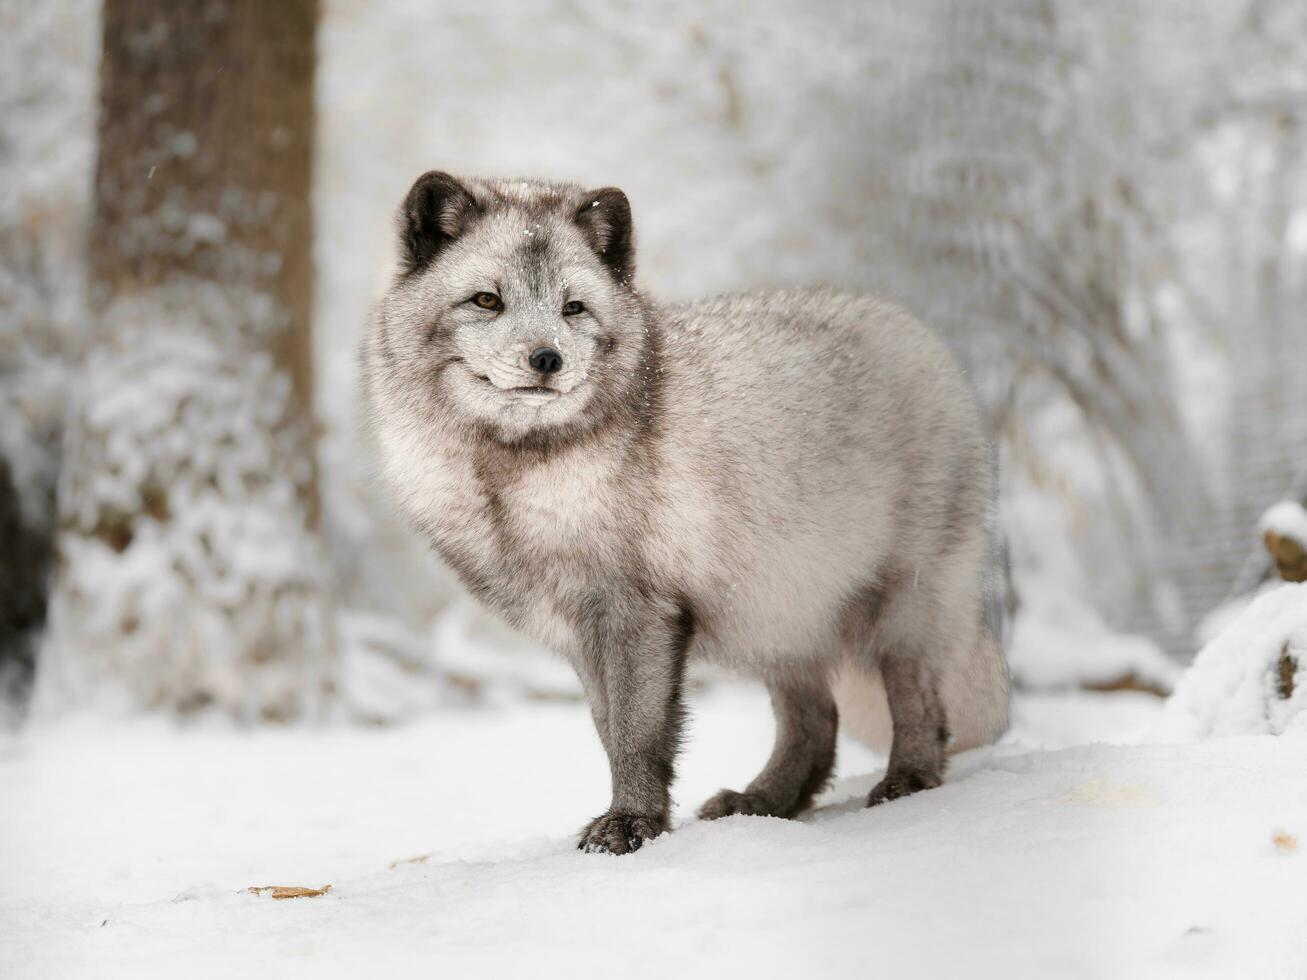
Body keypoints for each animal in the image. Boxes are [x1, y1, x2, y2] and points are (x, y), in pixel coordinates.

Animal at [363, 172, 1003, 857]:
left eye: (572, 308)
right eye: (486, 300)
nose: (547, 359)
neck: (513, 477)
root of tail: (916, 332)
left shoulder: (637, 610)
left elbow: (638, 733)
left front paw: (631, 825)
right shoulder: (583, 631)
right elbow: (610, 731)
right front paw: (637, 819)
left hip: (901, 604)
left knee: (920, 706)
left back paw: (908, 778)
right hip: (775, 611)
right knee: (816, 724)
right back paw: (764, 803)